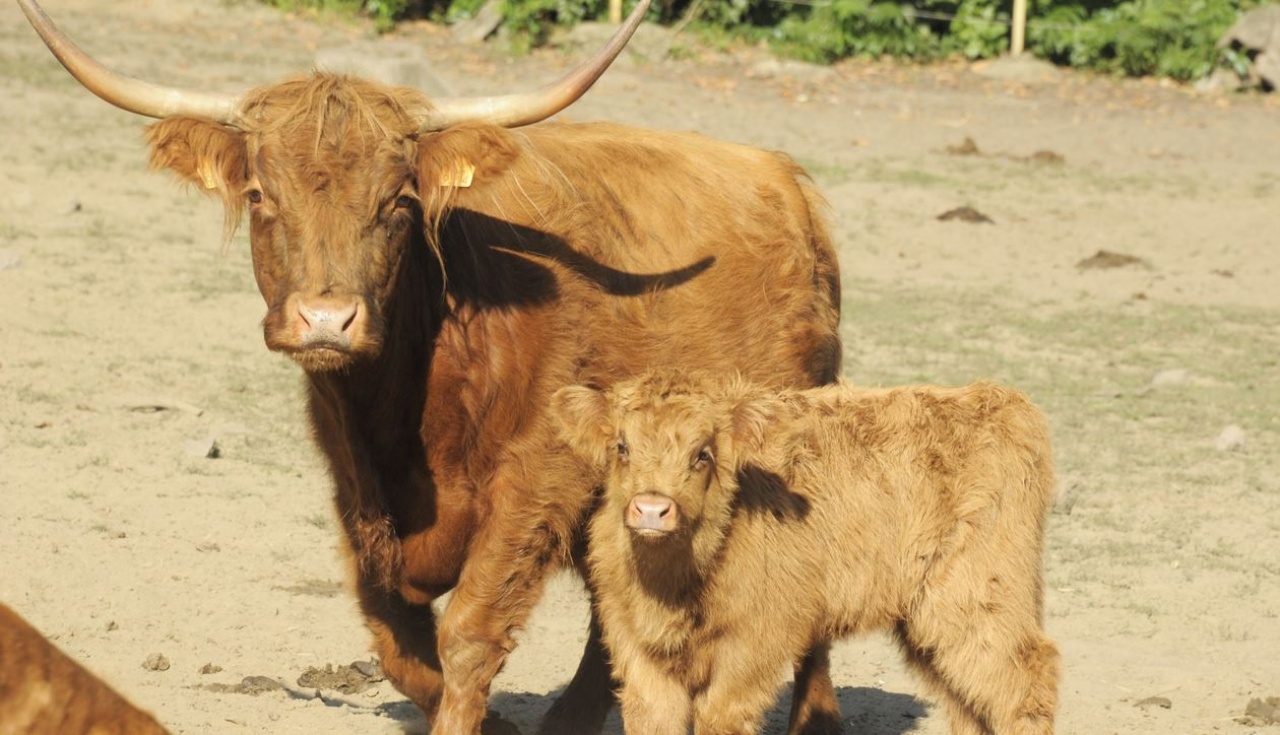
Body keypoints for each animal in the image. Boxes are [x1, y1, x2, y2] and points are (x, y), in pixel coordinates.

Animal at [550, 373, 1059, 735]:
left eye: (703, 454)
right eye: (622, 447)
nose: (652, 509)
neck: (677, 586)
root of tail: (1002, 401)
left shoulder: (751, 648)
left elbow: (720, 716)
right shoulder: (638, 653)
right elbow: (654, 719)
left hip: (978, 596)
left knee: (1025, 680)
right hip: (929, 618)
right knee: (967, 699)